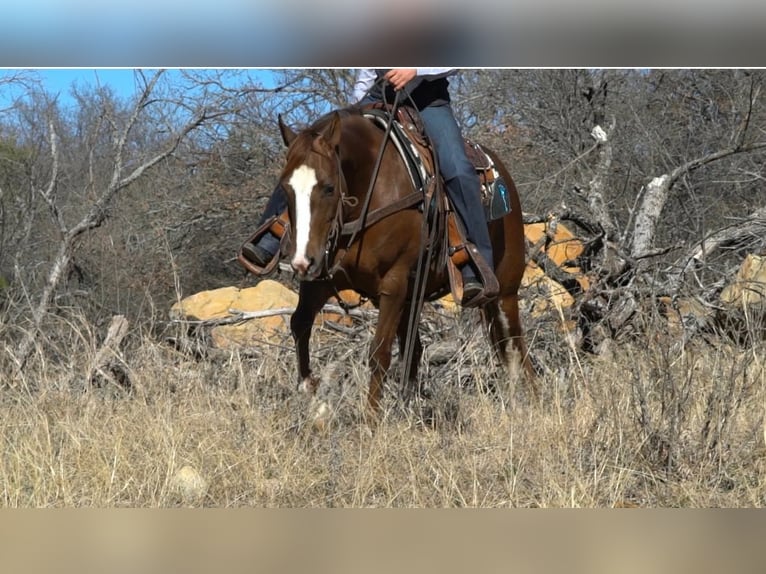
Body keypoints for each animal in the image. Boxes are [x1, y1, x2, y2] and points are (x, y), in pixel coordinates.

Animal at [275, 107, 535, 416]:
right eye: (285, 188)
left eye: (328, 188)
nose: (302, 261)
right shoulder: (323, 282)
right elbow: (300, 324)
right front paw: (312, 396)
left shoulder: (393, 283)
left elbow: (379, 352)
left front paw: (372, 420)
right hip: (413, 299)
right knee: (416, 351)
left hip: (505, 291)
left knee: (515, 346)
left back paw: (532, 402)